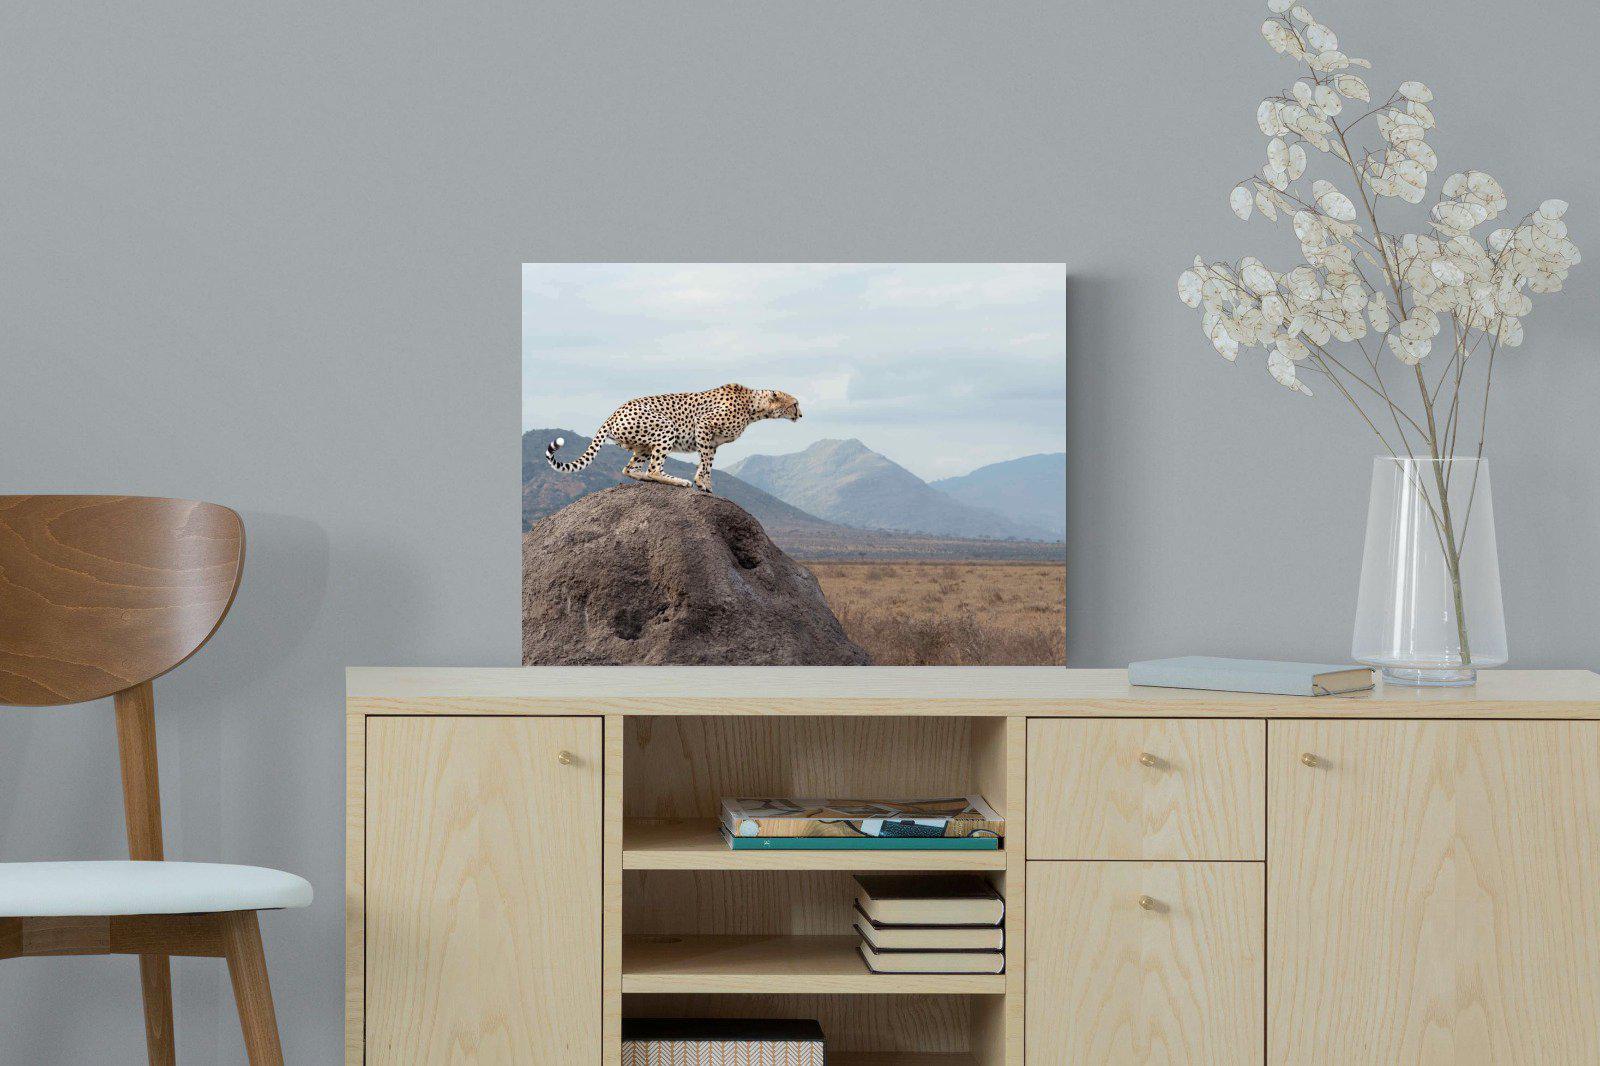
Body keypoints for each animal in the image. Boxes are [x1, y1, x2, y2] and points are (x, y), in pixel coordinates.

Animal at [546, 383, 802, 494]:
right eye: (795, 403)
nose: (801, 414)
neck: (753, 407)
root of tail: (614, 412)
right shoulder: (704, 426)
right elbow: (705, 463)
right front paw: (700, 482)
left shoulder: (713, 441)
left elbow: (708, 463)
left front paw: (707, 484)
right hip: (666, 427)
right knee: (654, 469)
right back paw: (678, 481)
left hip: (642, 446)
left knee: (630, 469)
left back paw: (646, 478)